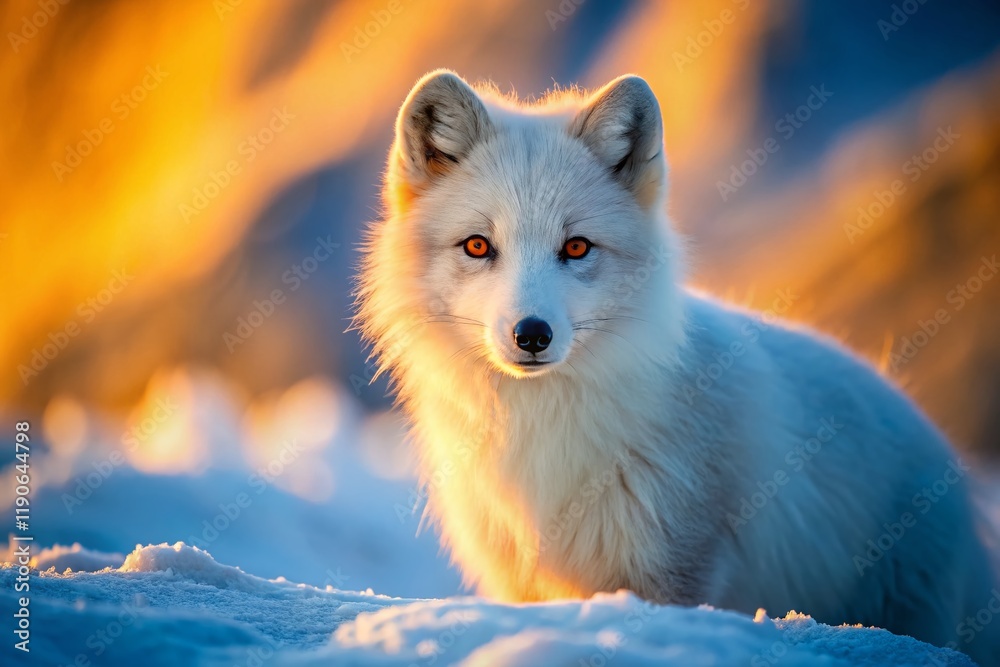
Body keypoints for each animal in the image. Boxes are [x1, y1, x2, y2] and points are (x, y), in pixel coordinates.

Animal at [355, 70, 998, 664]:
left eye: (577, 248)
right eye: (478, 246)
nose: (531, 334)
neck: (544, 432)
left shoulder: (674, 571)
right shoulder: (523, 586)